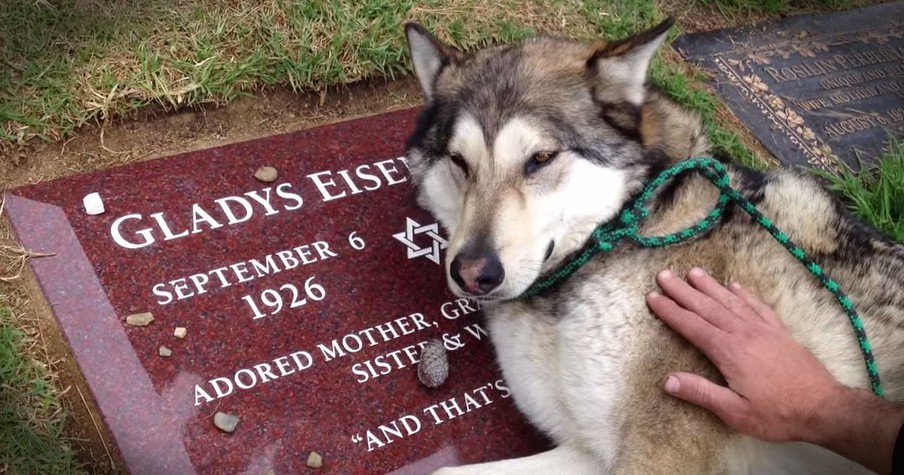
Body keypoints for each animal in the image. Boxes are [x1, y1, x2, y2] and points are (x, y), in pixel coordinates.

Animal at [400, 19, 904, 475]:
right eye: (458, 160)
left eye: (540, 158)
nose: (473, 272)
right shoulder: (588, 452)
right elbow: (442, 471)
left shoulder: (661, 455)